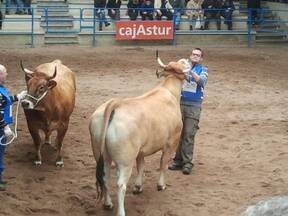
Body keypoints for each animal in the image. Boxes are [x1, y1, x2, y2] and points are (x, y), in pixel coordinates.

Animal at [89, 52, 190, 216]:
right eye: (183, 63)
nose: (187, 59)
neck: (168, 91)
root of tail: (115, 103)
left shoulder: (141, 150)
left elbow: (142, 165)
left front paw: (138, 186)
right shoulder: (171, 142)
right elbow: (163, 163)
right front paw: (161, 185)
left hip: (101, 154)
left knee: (105, 177)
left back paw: (108, 203)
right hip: (125, 160)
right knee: (121, 185)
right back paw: (120, 211)